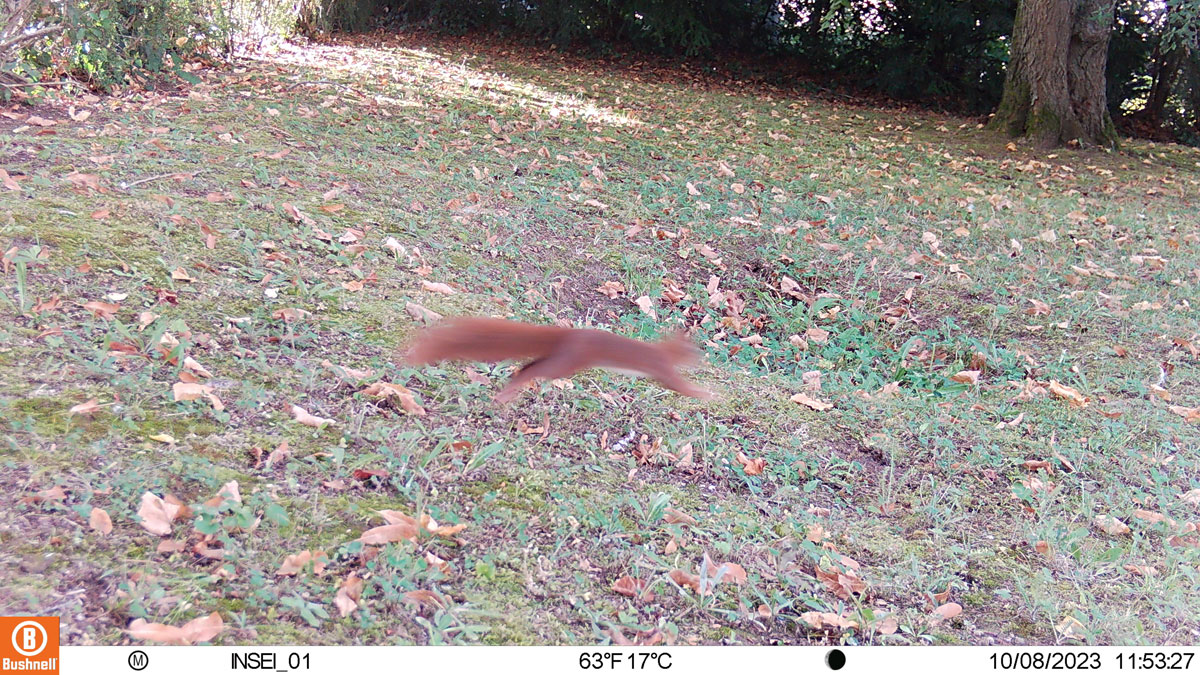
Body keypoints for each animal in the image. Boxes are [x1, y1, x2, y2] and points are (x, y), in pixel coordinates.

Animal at [403, 314, 705, 398]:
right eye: (693, 351)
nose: (700, 359)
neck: (664, 351)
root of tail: (569, 335)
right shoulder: (662, 368)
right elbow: (679, 386)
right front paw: (708, 394)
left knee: (528, 367)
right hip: (568, 363)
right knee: (535, 370)